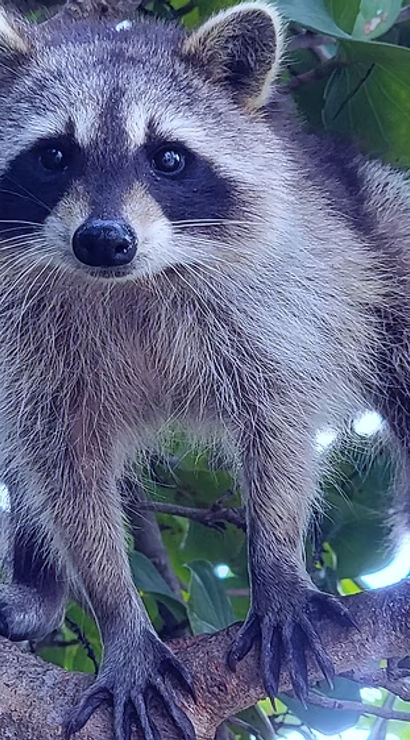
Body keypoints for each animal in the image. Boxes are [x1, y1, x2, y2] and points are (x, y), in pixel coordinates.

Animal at [0, 1, 408, 737]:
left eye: (168, 158)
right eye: (53, 155)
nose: (104, 240)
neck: (127, 282)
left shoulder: (276, 295)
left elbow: (277, 418)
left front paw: (276, 564)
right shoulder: (26, 343)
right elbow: (62, 466)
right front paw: (118, 614)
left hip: (379, 229)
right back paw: (36, 583)